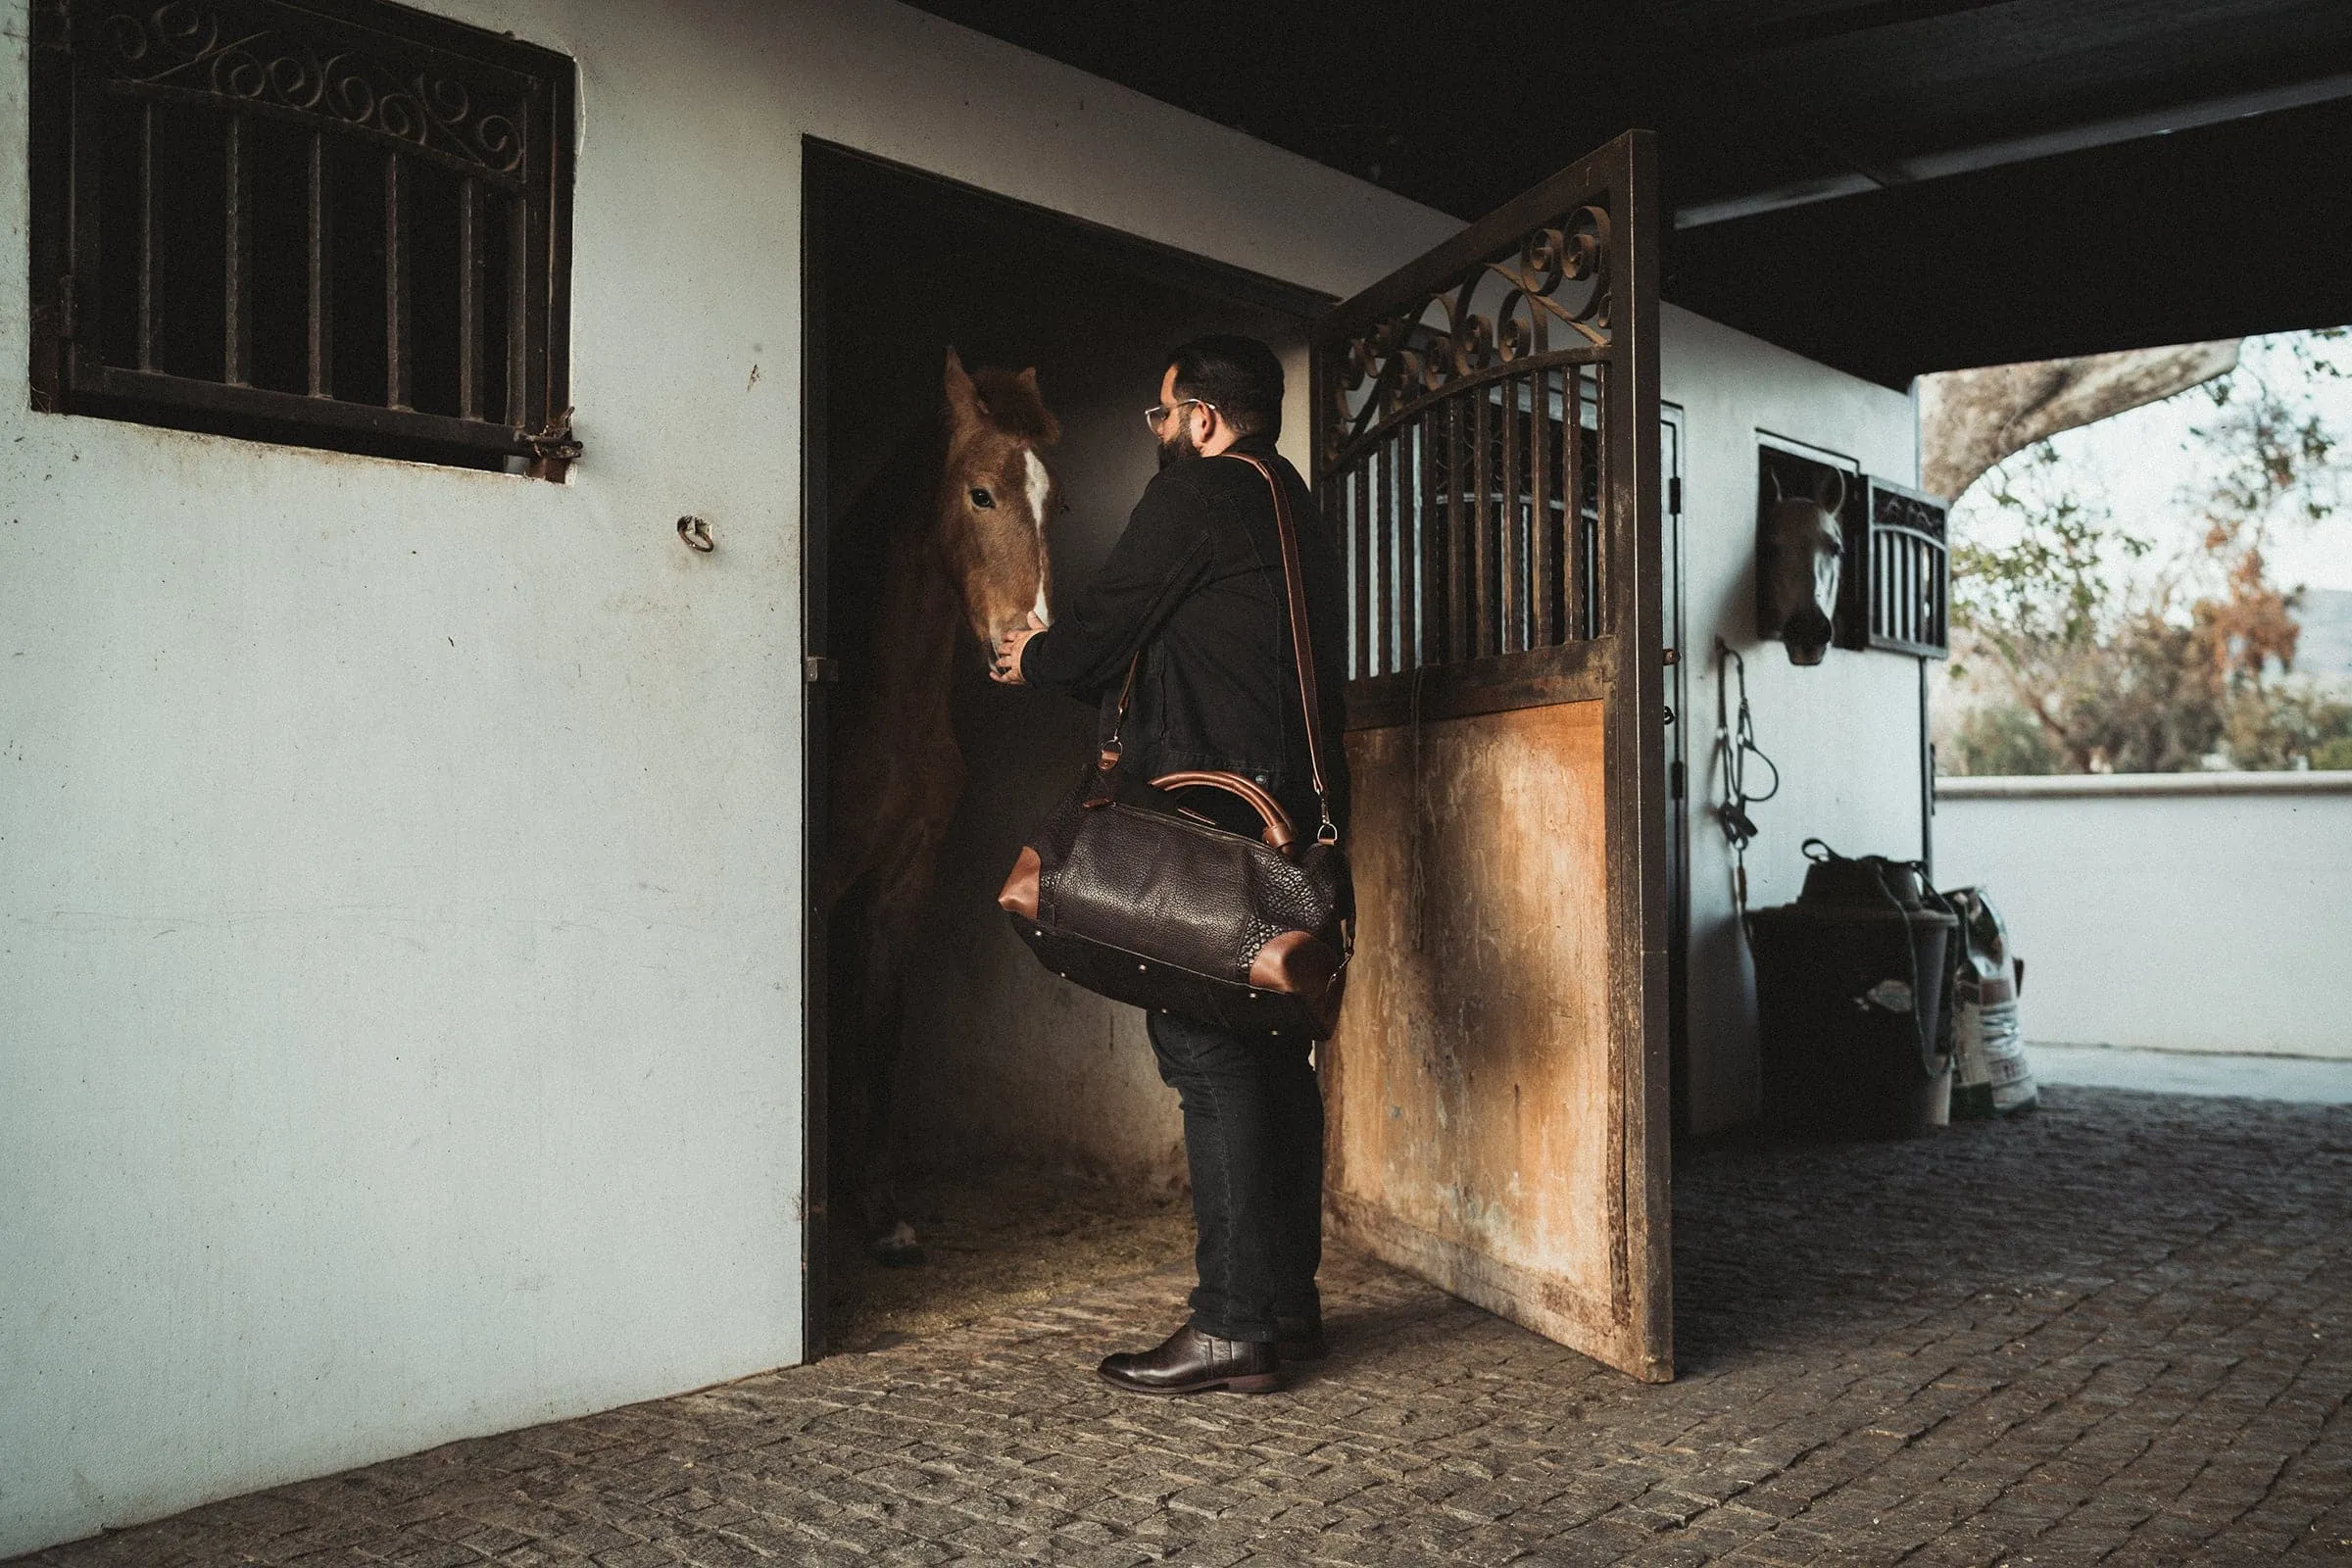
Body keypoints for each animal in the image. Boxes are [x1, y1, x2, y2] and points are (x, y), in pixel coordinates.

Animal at [818, 350, 1058, 1269]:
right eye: (980, 494)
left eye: (1053, 499)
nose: (1025, 640)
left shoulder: (902, 879)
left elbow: (877, 1030)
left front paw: (883, 1215)